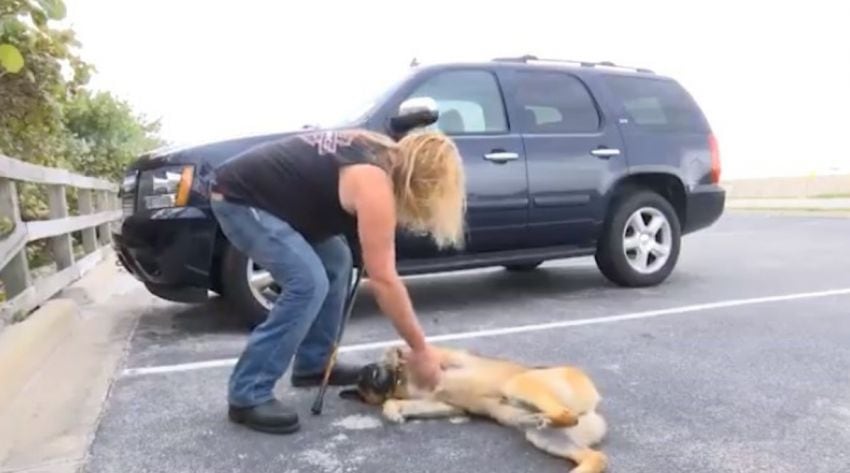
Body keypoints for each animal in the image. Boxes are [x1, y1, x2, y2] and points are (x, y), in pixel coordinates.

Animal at [342, 342, 608, 472]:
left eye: (371, 373)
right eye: (364, 384)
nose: (370, 375)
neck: (402, 380)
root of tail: (593, 404)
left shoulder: (443, 360)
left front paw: (398, 355)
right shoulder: (447, 405)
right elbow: (395, 401)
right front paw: (392, 410)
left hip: (519, 384)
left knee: (565, 413)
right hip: (545, 437)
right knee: (596, 456)